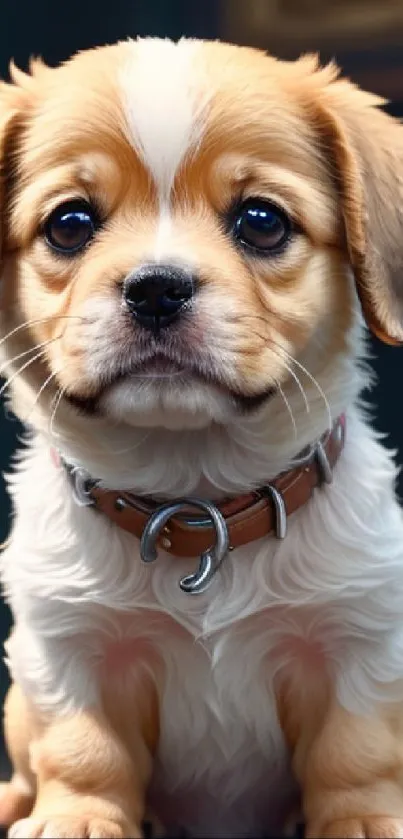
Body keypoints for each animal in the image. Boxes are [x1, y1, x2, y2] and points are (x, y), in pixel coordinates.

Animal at [0, 37, 403, 839]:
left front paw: (365, 822)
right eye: (69, 223)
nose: (156, 287)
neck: (195, 506)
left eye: (261, 220)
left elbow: (355, 754)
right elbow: (84, 750)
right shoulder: (69, 648)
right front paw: (79, 819)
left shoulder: (356, 641)